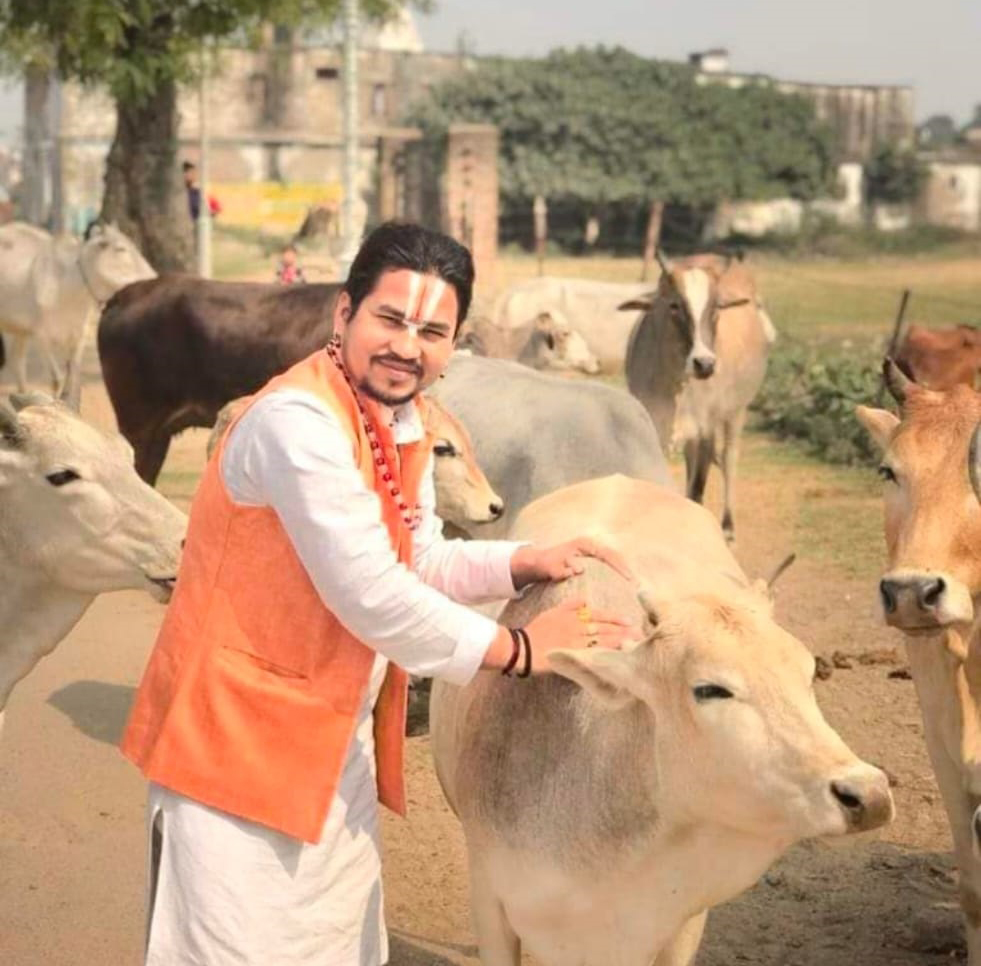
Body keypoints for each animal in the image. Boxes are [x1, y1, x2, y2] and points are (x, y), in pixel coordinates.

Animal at [0, 222, 155, 398]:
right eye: (120, 249)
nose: (153, 275)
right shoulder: (41, 336)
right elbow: (56, 380)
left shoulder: (78, 337)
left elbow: (72, 380)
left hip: (21, 331)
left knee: (17, 362)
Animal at [622, 253, 774, 542]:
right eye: (674, 305)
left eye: (716, 308)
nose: (704, 364)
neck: (676, 384)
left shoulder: (706, 432)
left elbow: (697, 491)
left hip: (736, 412)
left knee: (729, 458)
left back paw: (728, 526)